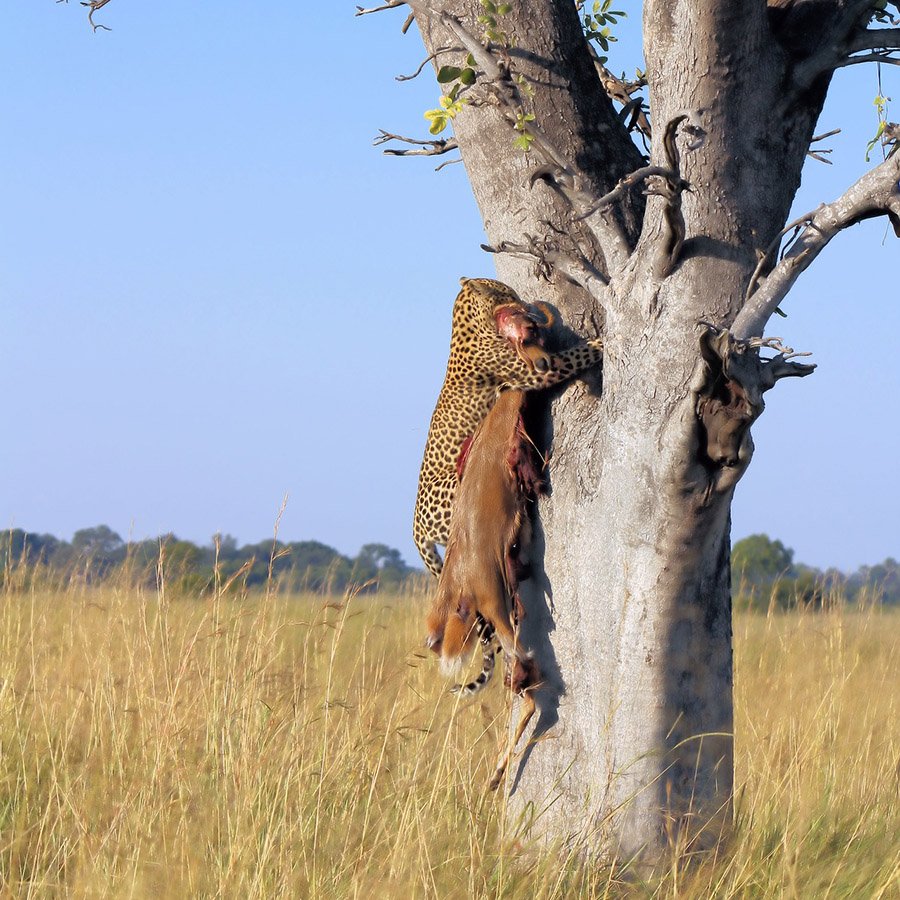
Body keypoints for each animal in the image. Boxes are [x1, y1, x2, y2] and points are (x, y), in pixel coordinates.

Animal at [414, 274, 604, 580]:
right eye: (507, 294)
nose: (523, 304)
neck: (467, 324)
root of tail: (416, 530)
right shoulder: (537, 370)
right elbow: (575, 354)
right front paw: (600, 343)